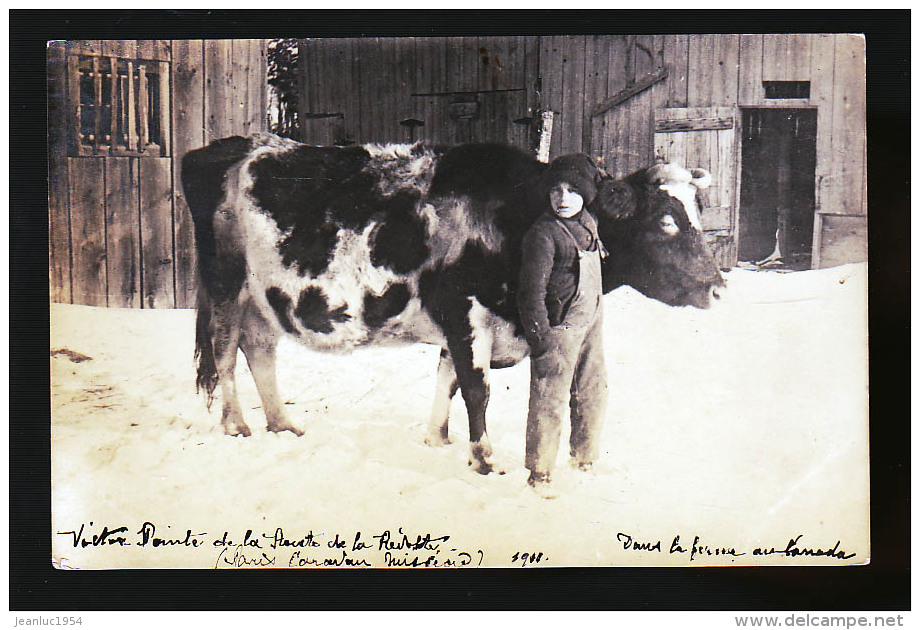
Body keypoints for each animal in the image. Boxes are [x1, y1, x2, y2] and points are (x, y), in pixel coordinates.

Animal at [181, 135, 724, 478]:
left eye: (698, 212)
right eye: (667, 221)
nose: (719, 289)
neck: (514, 213)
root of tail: (226, 147)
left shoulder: (460, 323)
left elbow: (448, 378)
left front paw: (437, 438)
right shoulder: (465, 312)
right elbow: (477, 389)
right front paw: (484, 458)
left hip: (265, 298)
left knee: (260, 349)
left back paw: (281, 423)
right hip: (227, 284)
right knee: (225, 351)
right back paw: (237, 424)